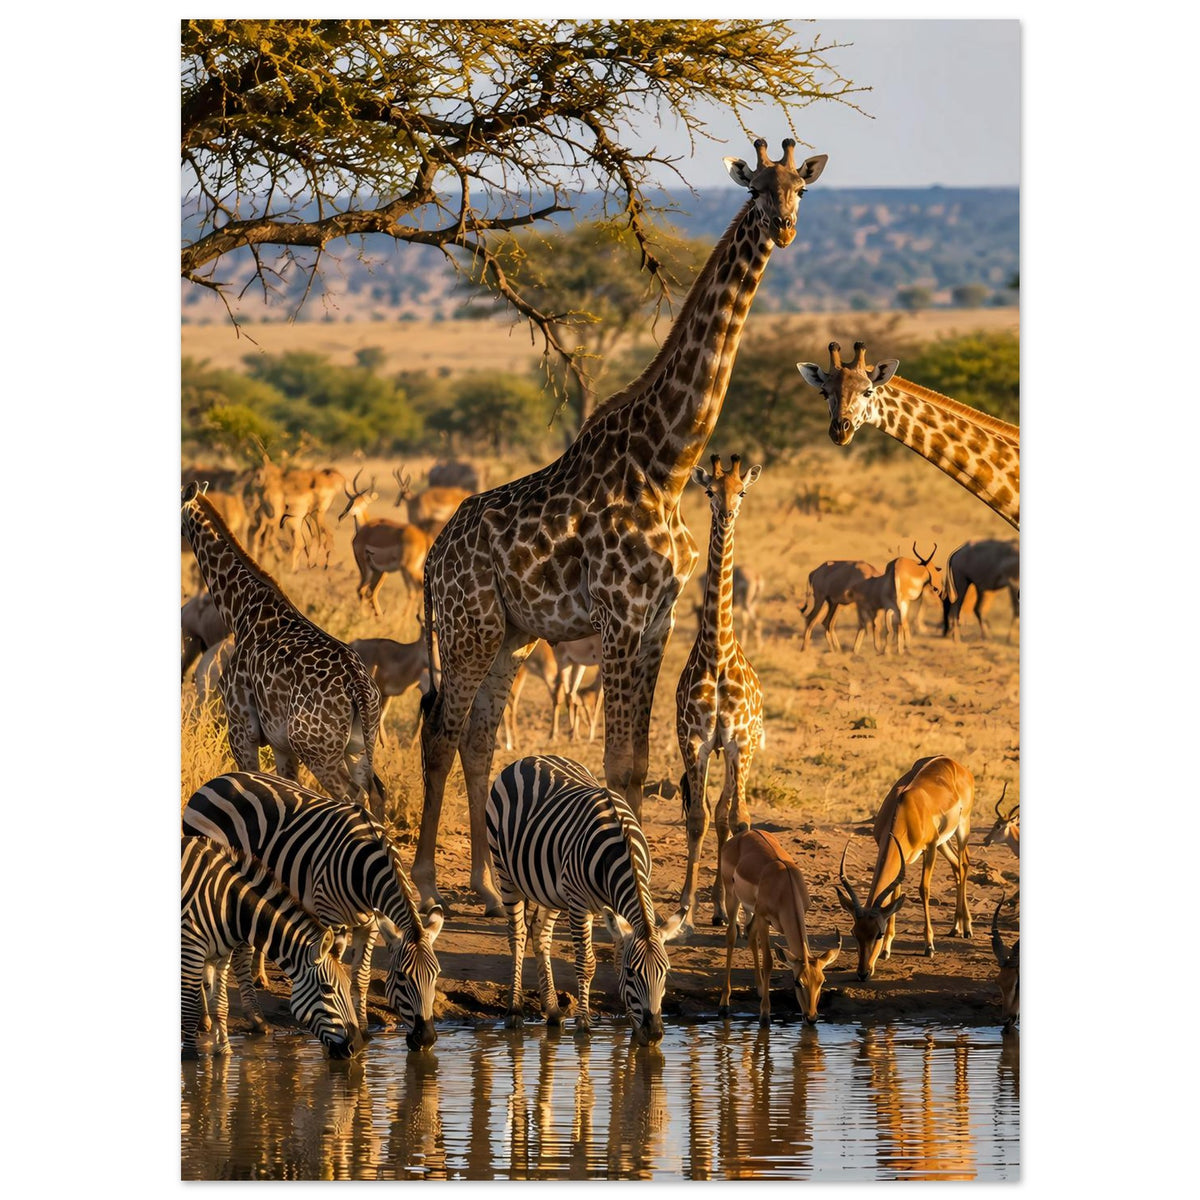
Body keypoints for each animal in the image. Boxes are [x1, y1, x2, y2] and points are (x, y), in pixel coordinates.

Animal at [180, 483, 387, 818]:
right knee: (377, 792)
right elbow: (288, 790)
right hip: (357, 747)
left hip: (318, 751)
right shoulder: (280, 745)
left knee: (352, 796)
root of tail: (359, 686)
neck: (239, 609)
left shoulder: (241, 727)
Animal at [181, 836, 362, 1059]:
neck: (230, 905)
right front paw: (190, 1058)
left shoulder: (220, 957)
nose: (356, 1048)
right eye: (327, 989)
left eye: (348, 985)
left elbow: (221, 1005)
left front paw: (224, 1052)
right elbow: (189, 1007)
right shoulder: (191, 948)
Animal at [415, 137, 827, 914]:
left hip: (512, 634)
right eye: (756, 187)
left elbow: (634, 765)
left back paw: (487, 887)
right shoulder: (620, 615)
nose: (785, 228)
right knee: (441, 734)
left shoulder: (658, 618)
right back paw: (425, 882)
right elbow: (613, 764)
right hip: (467, 625)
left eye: (801, 189)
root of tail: (431, 560)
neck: (667, 461)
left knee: (479, 738)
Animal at [485, 755, 688, 1043]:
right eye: (633, 973)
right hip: (506, 872)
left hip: (552, 890)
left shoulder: (614, 909)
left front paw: (631, 1026)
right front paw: (583, 1023)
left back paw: (553, 1010)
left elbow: (616, 958)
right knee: (518, 936)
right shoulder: (580, 904)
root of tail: (529, 758)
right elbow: (587, 963)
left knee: (540, 933)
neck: (621, 850)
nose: (654, 1034)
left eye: (667, 972)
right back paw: (514, 1012)